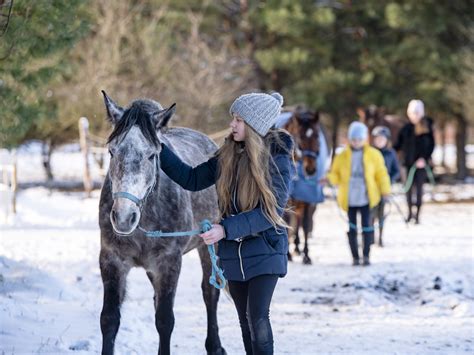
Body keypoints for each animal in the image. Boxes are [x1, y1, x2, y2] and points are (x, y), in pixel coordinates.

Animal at [98, 92, 226, 355]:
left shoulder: (168, 262)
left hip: (208, 245)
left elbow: (165, 320)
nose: (123, 217)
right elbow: (109, 320)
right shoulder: (111, 260)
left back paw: (215, 346)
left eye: (151, 155)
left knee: (210, 293)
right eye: (112, 152)